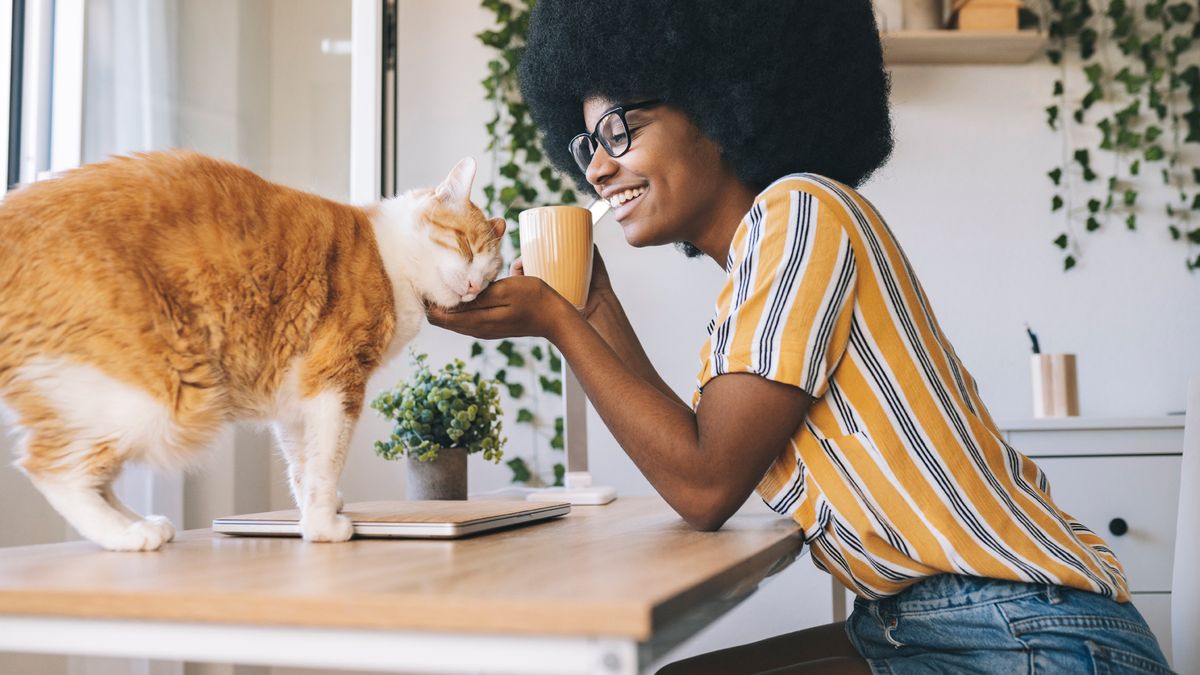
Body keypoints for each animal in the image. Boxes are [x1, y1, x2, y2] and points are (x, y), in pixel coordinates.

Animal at [0, 149, 504, 550]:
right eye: (465, 245)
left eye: (490, 277)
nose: (474, 286)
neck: (390, 259)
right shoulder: (335, 381)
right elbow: (325, 462)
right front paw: (323, 527)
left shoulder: (298, 395)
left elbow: (304, 464)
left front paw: (315, 513)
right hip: (165, 398)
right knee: (52, 467)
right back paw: (127, 535)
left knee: (87, 472)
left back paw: (141, 524)